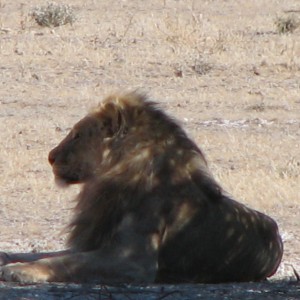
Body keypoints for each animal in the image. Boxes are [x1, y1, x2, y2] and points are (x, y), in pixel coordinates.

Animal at [0, 92, 284, 284]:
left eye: (77, 135)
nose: (50, 157)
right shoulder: (94, 241)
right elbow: (47, 254)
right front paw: (7, 257)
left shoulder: (131, 260)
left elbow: (64, 261)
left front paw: (19, 271)